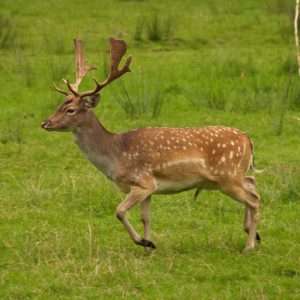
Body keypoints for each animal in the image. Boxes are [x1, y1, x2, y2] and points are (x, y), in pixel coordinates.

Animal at [41, 37, 262, 253]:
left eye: (70, 109)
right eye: (58, 105)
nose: (45, 123)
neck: (115, 156)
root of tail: (248, 139)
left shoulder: (143, 182)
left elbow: (119, 211)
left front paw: (144, 242)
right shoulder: (147, 189)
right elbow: (146, 217)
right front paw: (149, 246)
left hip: (227, 177)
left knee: (254, 200)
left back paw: (249, 246)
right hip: (230, 177)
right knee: (252, 183)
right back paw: (254, 233)